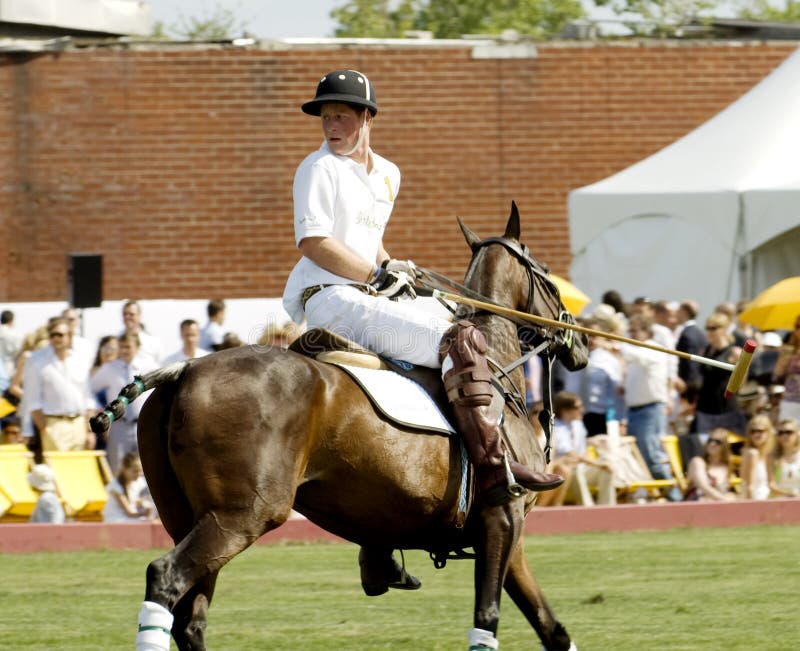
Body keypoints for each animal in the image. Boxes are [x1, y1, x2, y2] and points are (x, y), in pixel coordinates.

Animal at [109, 204, 588, 651]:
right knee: (165, 577)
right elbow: (487, 619)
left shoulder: (509, 536)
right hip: (240, 515)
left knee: (190, 618)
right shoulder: (502, 519)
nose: (581, 341)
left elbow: (551, 627)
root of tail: (184, 369)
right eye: (549, 277)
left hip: (187, 514)